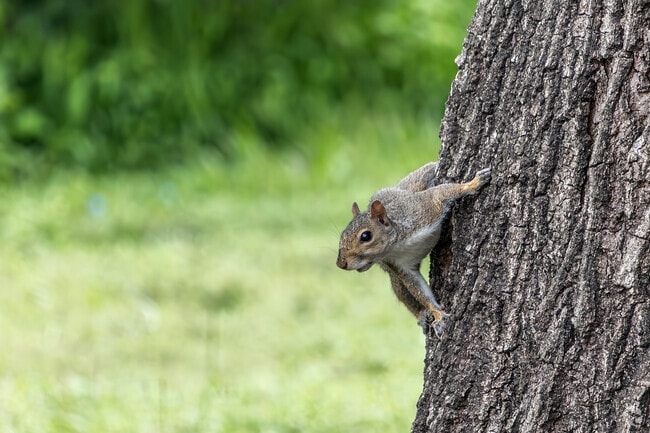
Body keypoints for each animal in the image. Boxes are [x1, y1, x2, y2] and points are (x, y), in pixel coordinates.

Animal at [336, 162, 491, 337]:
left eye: (365, 236)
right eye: (342, 234)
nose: (340, 263)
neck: (397, 245)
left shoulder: (425, 211)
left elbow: (441, 193)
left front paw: (473, 183)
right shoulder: (398, 265)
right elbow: (416, 288)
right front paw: (438, 315)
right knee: (402, 292)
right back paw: (422, 315)